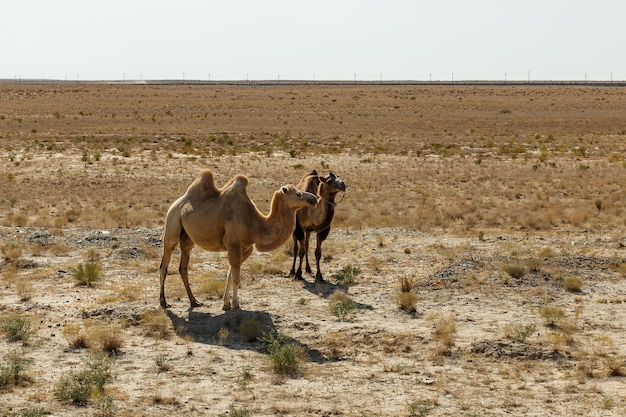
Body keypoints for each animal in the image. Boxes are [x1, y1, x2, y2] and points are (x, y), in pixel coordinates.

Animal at [158, 168, 316, 308]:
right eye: (298, 194)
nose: (314, 198)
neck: (254, 223)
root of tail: (176, 203)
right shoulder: (233, 245)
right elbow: (236, 277)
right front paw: (235, 304)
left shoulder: (246, 248)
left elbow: (230, 273)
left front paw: (226, 303)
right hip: (172, 225)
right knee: (164, 264)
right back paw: (164, 302)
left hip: (187, 239)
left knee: (183, 267)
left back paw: (194, 301)